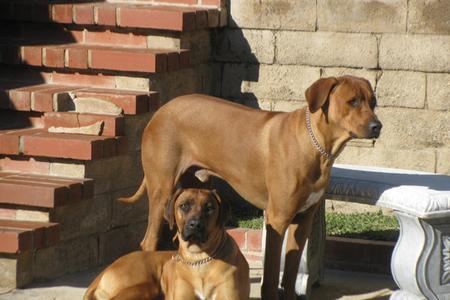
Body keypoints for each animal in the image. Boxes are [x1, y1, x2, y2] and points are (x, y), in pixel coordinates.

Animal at [83, 189, 250, 298]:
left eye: (209, 208)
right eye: (184, 205)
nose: (195, 225)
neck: (199, 259)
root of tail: (106, 270)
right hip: (145, 286)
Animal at [119, 75, 380, 300]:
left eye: (373, 101)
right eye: (353, 101)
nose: (378, 126)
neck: (315, 145)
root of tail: (161, 110)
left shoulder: (304, 219)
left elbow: (291, 269)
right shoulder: (277, 220)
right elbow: (272, 273)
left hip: (192, 191)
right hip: (162, 191)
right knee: (148, 242)